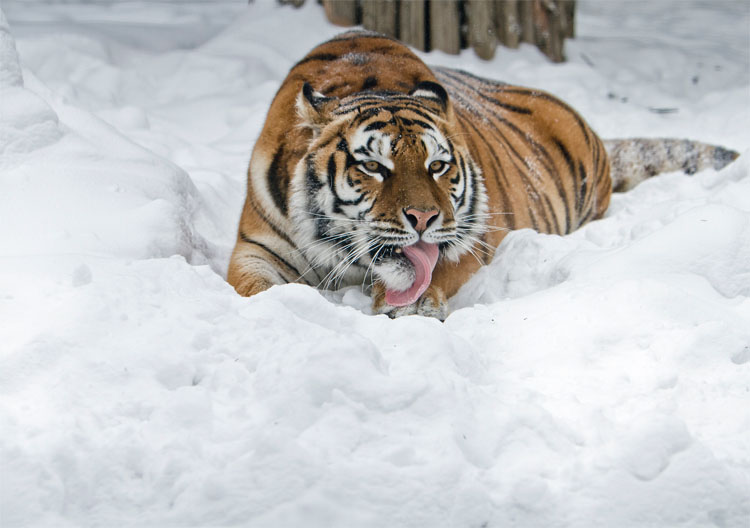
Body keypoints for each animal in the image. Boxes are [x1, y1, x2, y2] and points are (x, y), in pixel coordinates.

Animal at [225, 32, 740, 322]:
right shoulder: (257, 247)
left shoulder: (476, 237)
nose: (423, 218)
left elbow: (440, 269)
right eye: (373, 166)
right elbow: (254, 287)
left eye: (437, 166)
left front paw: (411, 306)